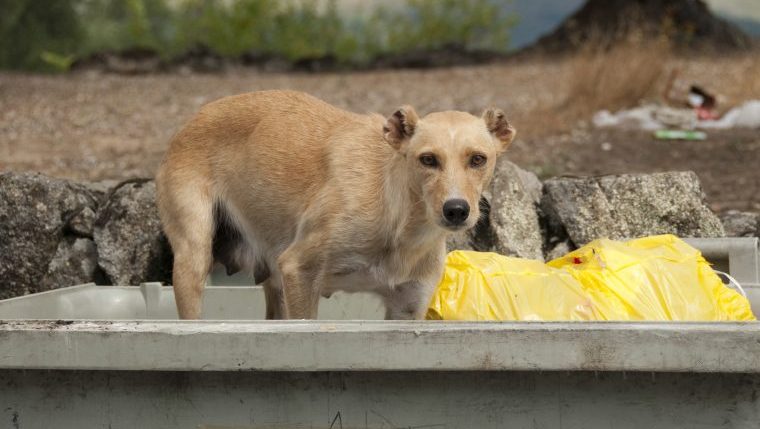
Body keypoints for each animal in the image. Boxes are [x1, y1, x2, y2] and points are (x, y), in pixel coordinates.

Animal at [158, 90, 520, 318]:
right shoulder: (299, 272)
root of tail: (191, 120)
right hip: (194, 260)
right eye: (428, 159)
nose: (456, 210)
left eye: (478, 159)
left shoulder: (407, 306)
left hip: (274, 286)